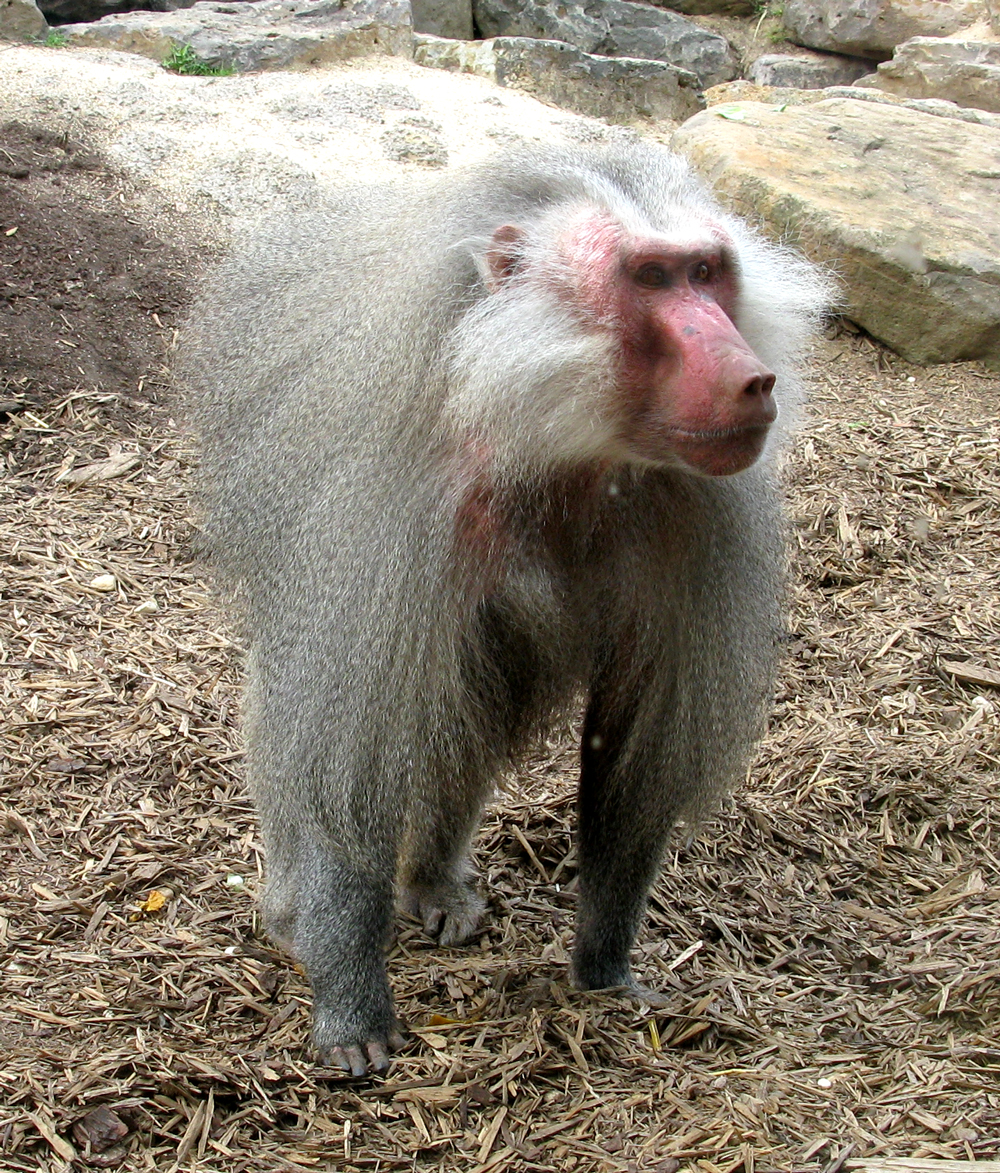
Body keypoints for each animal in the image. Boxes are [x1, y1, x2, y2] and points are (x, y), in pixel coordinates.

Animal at [183, 141, 830, 1077]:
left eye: (707, 272)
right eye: (649, 277)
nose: (752, 378)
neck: (553, 443)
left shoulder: (696, 509)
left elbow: (630, 750)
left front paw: (604, 969)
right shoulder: (399, 509)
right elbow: (353, 760)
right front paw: (350, 1008)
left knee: (468, 716)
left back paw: (431, 881)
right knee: (310, 717)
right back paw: (294, 915)